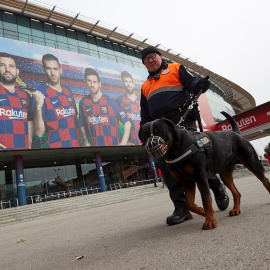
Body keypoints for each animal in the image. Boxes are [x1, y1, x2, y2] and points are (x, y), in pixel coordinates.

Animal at [139, 112, 270, 230]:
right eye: (145, 135)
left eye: (160, 132)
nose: (152, 143)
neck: (177, 149)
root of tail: (236, 133)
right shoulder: (187, 181)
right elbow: (189, 203)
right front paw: (202, 212)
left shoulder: (201, 178)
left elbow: (206, 200)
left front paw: (210, 221)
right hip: (225, 174)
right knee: (236, 192)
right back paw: (236, 209)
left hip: (253, 163)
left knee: (265, 181)